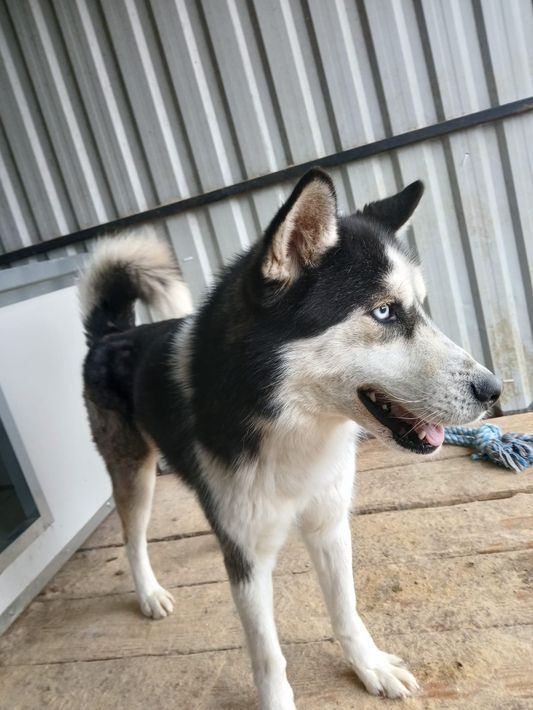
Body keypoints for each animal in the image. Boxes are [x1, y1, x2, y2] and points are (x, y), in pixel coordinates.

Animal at [79, 169, 501, 709]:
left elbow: (346, 610)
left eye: (422, 309)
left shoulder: (329, 522)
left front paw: (369, 666)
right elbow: (267, 653)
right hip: (134, 471)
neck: (293, 423)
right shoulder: (250, 564)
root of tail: (110, 334)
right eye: (385, 312)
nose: (493, 389)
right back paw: (149, 592)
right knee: (133, 537)